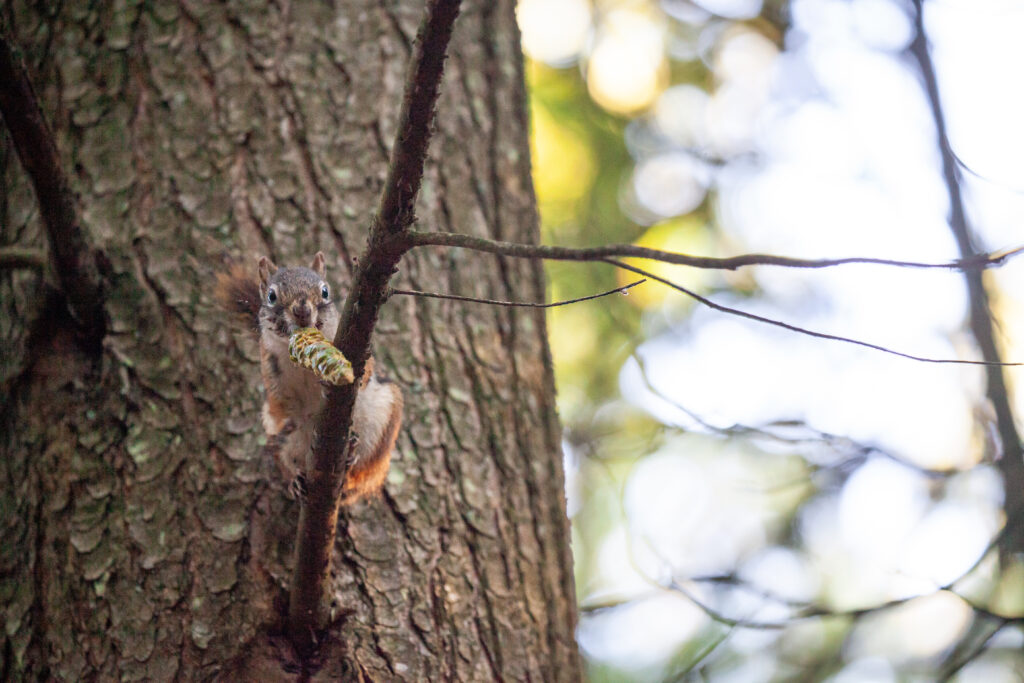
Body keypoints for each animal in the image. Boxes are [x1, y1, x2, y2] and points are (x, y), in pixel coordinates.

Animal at [215, 251, 403, 505]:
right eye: (271, 296)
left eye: (325, 291)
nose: (302, 310)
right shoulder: (270, 372)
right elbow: (281, 404)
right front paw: (290, 420)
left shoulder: (361, 356)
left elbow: (364, 374)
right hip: (287, 449)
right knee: (287, 459)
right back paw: (296, 479)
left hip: (382, 425)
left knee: (360, 473)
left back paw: (352, 459)